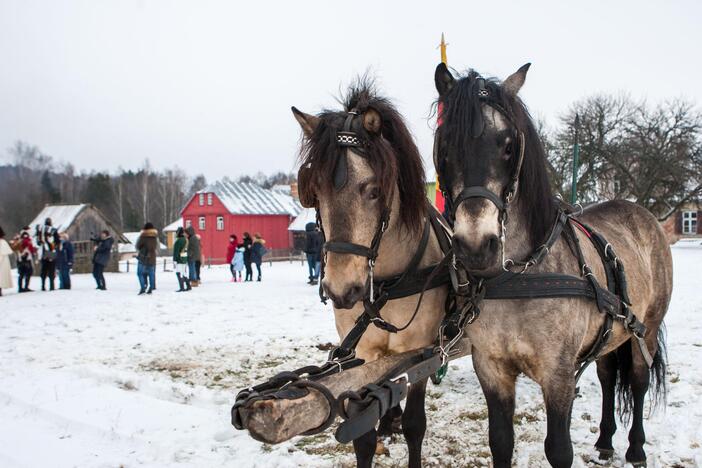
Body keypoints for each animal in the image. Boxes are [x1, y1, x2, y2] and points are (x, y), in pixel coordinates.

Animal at [434, 63, 672, 468]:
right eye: (445, 145)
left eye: (508, 145)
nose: (476, 247)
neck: (517, 278)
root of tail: (642, 214)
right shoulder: (492, 368)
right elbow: (500, 441)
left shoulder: (558, 373)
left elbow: (559, 449)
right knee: (608, 376)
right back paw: (605, 441)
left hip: (647, 330)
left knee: (639, 382)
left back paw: (636, 448)